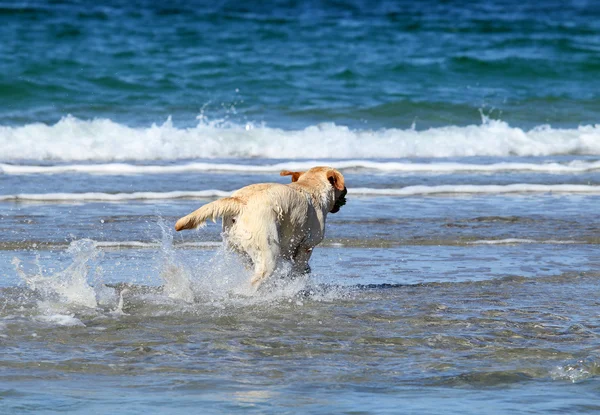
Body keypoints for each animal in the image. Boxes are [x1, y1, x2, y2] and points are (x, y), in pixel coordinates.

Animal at [173, 167, 346, 288]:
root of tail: (240, 201)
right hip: (268, 251)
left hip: (242, 250)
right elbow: (298, 267)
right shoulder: (307, 245)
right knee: (257, 280)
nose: (345, 195)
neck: (310, 186)